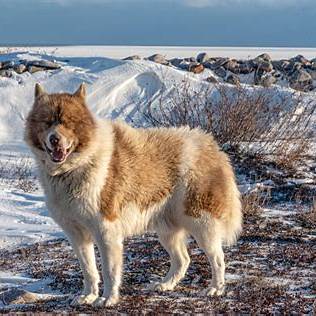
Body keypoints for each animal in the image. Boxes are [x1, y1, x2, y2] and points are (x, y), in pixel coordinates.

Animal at [24, 82, 242, 308]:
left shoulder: (106, 232)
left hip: (201, 223)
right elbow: (89, 270)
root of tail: (211, 146)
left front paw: (108, 298)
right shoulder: (77, 235)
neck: (76, 166)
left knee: (218, 259)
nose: (55, 139)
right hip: (167, 230)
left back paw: (216, 289)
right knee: (183, 259)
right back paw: (165, 285)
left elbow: (109, 271)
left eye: (68, 122)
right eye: (47, 122)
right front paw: (88, 296)